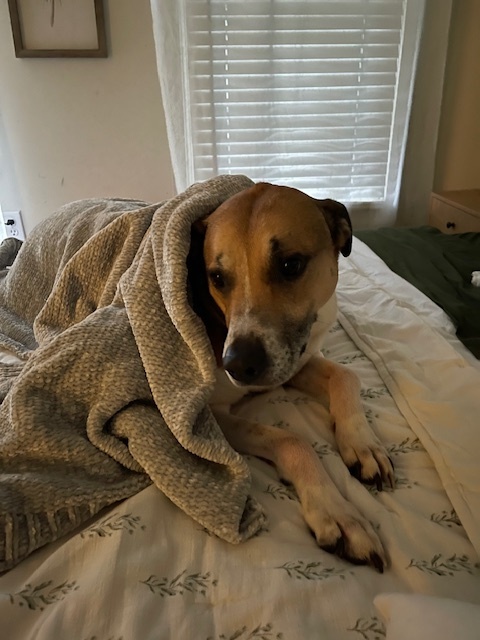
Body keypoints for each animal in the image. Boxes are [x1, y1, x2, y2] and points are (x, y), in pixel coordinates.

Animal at [189, 182, 395, 572]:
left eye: (291, 265)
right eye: (217, 278)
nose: (237, 364)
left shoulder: (296, 360)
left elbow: (347, 376)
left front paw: (363, 444)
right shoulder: (209, 418)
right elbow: (291, 439)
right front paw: (338, 514)